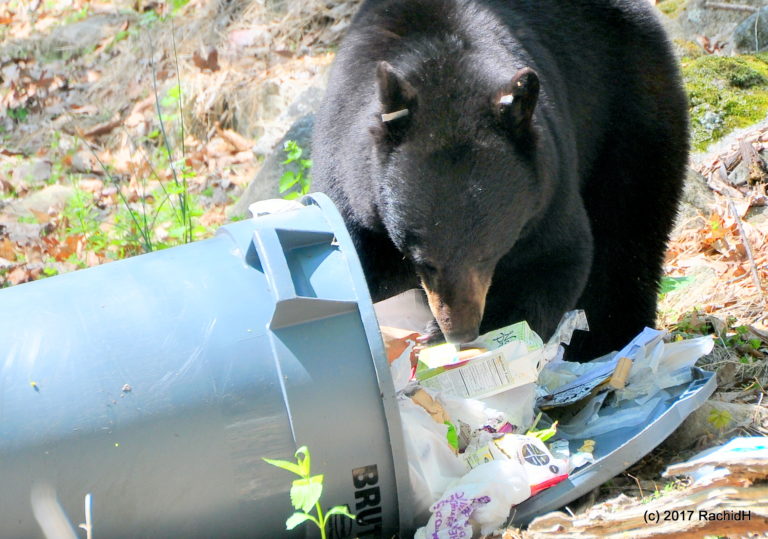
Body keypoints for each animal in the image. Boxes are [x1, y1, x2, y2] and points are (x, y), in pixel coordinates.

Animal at [310, 0, 688, 362]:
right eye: (424, 262)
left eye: (487, 255)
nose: (460, 332)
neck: (440, 65)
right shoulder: (349, 186)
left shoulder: (547, 190)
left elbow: (553, 261)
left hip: (630, 105)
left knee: (627, 227)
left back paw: (606, 341)